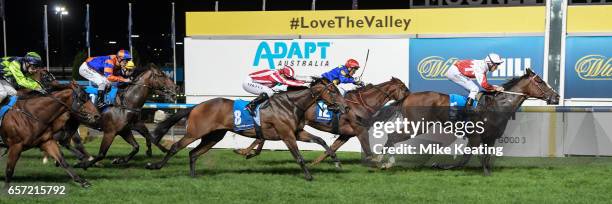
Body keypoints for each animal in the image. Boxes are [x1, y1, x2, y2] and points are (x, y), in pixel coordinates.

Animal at [149, 77, 346, 180]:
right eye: (333, 92)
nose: (344, 107)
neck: (290, 105)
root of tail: (197, 106)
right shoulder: (287, 135)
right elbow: (299, 156)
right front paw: (309, 176)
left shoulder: (297, 132)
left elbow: (320, 140)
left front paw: (336, 160)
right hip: (195, 132)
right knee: (176, 147)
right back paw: (155, 165)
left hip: (213, 136)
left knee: (193, 153)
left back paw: (193, 176)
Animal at [234, 77, 412, 167]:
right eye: (404, 87)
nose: (411, 95)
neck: (361, 104)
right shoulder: (359, 130)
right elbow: (368, 150)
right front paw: (379, 161)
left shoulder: (346, 134)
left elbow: (331, 149)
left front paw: (315, 162)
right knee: (260, 136)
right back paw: (246, 151)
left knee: (262, 135)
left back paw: (248, 151)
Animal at [372, 68, 560, 175]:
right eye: (540, 81)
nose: (556, 97)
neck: (497, 105)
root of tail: (408, 96)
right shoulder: (476, 137)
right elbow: (470, 158)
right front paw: (440, 165)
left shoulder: (489, 137)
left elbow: (482, 157)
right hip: (416, 126)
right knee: (393, 136)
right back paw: (382, 161)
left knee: (393, 136)